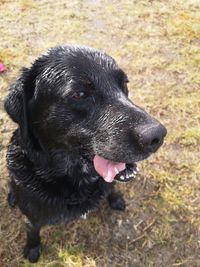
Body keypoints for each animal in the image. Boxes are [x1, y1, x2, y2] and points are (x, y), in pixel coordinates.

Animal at [5, 45, 167, 262]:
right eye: (80, 94)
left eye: (124, 84)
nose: (157, 135)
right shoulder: (32, 218)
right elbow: (33, 233)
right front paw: (32, 249)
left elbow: (111, 188)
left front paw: (115, 198)